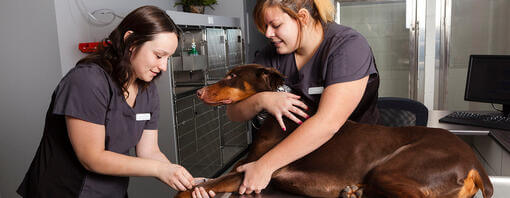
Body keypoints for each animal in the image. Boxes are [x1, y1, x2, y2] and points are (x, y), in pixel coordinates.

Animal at [176, 64, 494, 197]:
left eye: (232, 76)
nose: (198, 92)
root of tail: (475, 164)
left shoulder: (253, 171)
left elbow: (194, 190)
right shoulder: (244, 163)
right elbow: (203, 181)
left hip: (393, 167)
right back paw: (353, 191)